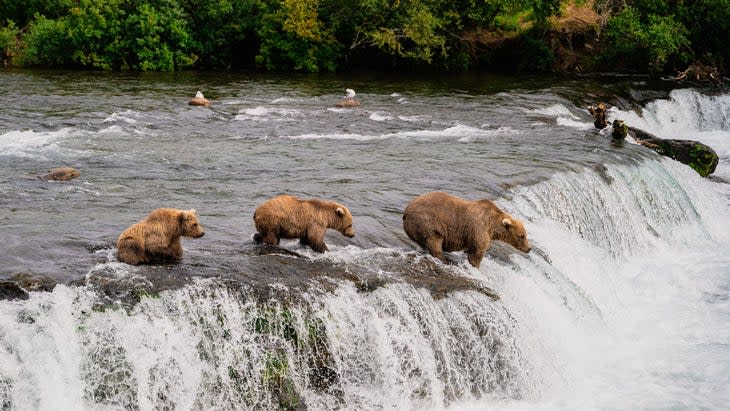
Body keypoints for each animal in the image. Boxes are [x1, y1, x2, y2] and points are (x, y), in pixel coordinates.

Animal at [400, 192, 532, 268]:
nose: (529, 248)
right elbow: (477, 252)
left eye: (525, 235)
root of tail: (406, 210)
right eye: (521, 236)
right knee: (434, 241)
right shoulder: (478, 228)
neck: (492, 225)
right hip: (427, 223)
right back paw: (444, 260)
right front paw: (475, 266)